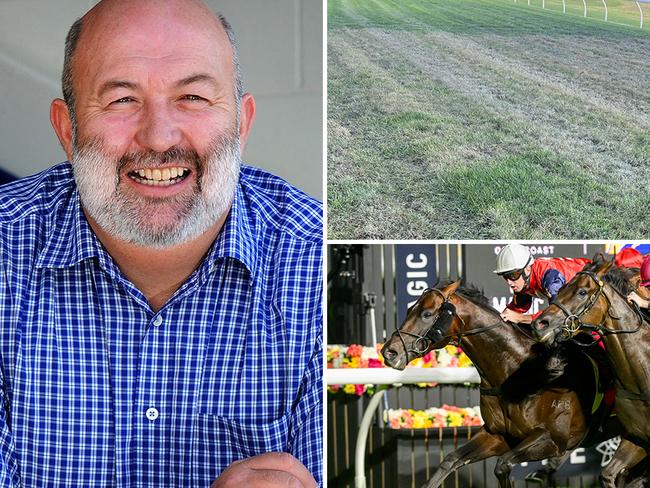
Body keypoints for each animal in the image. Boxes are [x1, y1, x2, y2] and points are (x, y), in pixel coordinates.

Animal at [382, 280, 616, 488]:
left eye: (427, 314)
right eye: (410, 309)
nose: (389, 352)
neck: (521, 372)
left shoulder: (553, 438)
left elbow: (502, 465)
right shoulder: (498, 436)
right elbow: (451, 460)